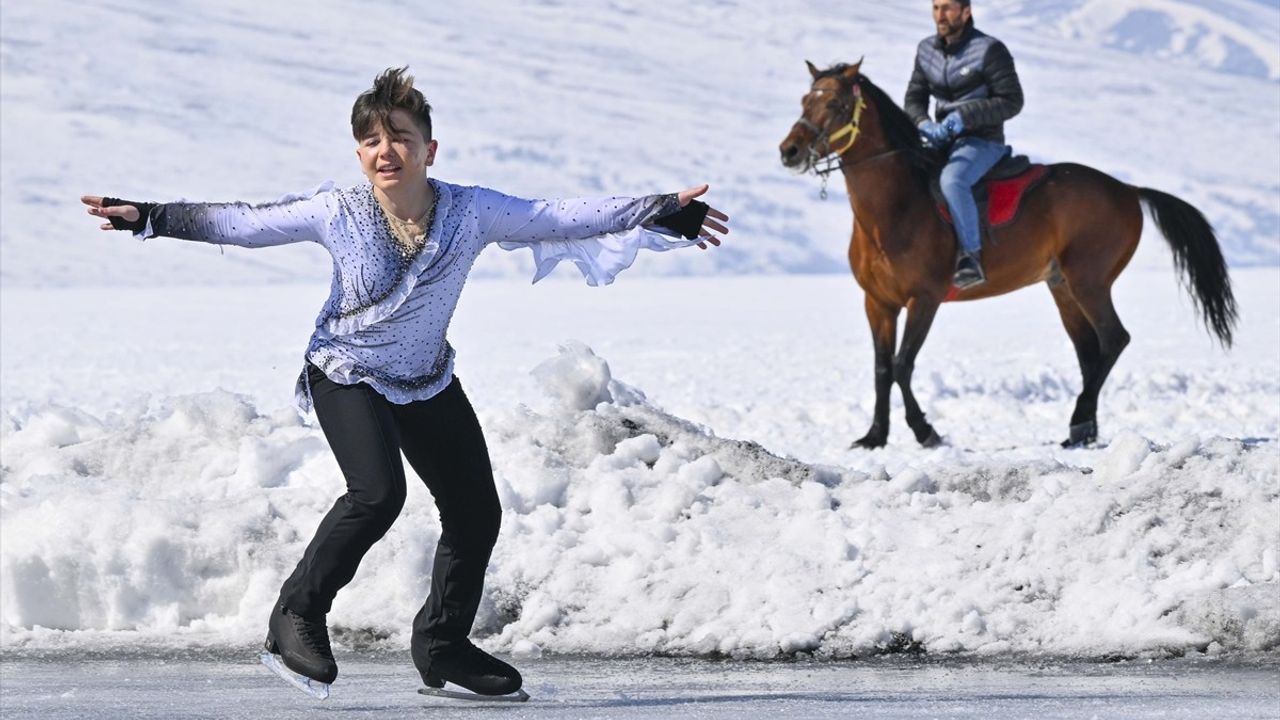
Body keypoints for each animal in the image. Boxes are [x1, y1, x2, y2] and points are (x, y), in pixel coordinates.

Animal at [773, 61, 1233, 445]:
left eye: (835, 104)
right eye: (804, 100)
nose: (789, 151)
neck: (896, 207)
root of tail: (1127, 189)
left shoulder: (924, 298)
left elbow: (903, 364)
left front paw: (925, 431)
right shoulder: (878, 303)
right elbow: (882, 368)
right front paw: (874, 437)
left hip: (1089, 280)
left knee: (1114, 340)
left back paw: (1079, 421)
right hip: (1062, 286)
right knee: (1090, 352)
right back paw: (1082, 430)